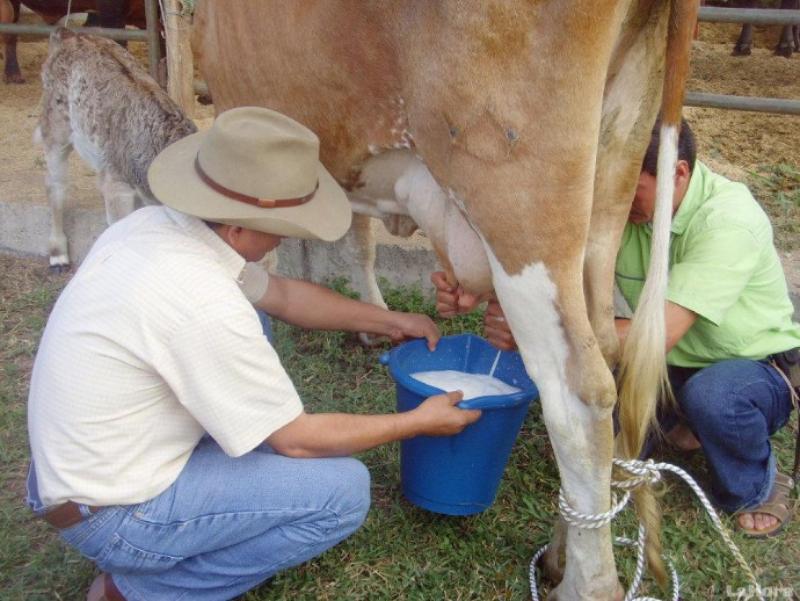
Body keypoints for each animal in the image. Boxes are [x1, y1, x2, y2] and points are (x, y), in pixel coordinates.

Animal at [194, 2, 700, 596]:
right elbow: (357, 238)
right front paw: (374, 320)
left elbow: (261, 262)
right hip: (614, 165)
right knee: (607, 348)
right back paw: (558, 553)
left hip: (519, 200)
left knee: (578, 392)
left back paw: (588, 585)